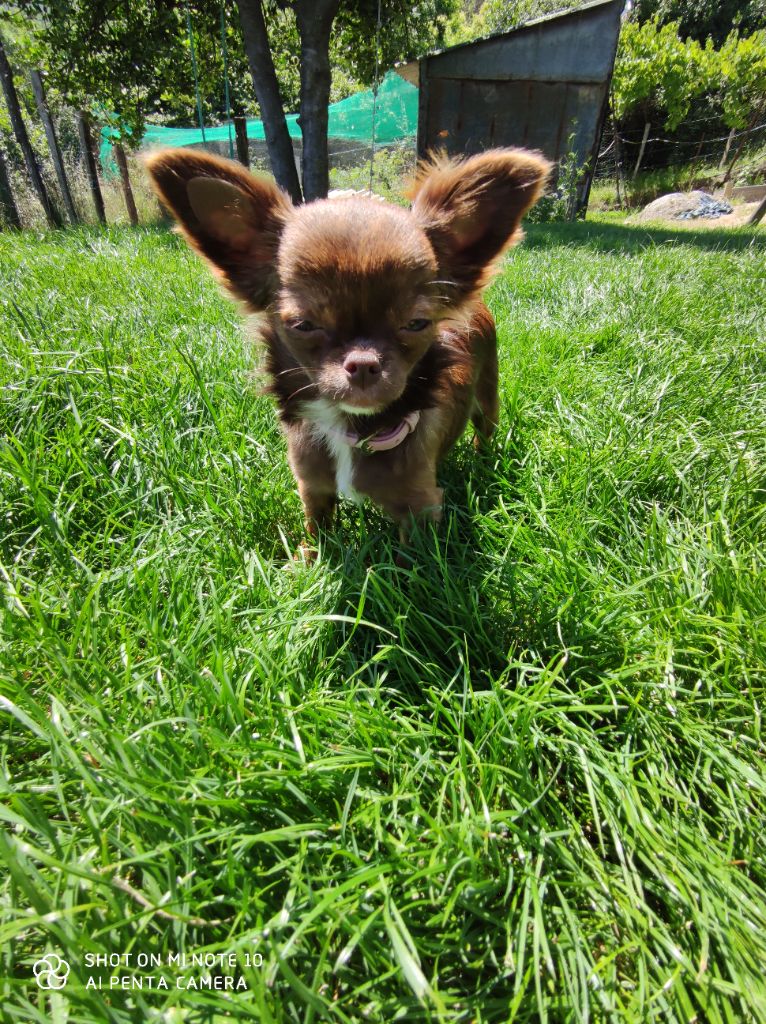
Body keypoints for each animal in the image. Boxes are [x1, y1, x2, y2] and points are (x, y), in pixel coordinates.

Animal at [145, 147, 550, 551]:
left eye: (416, 324)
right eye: (304, 325)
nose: (364, 363)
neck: (353, 428)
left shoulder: (420, 508)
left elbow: (411, 563)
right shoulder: (313, 489)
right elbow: (317, 536)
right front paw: (309, 561)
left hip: (488, 395)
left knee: (486, 428)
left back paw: (484, 461)